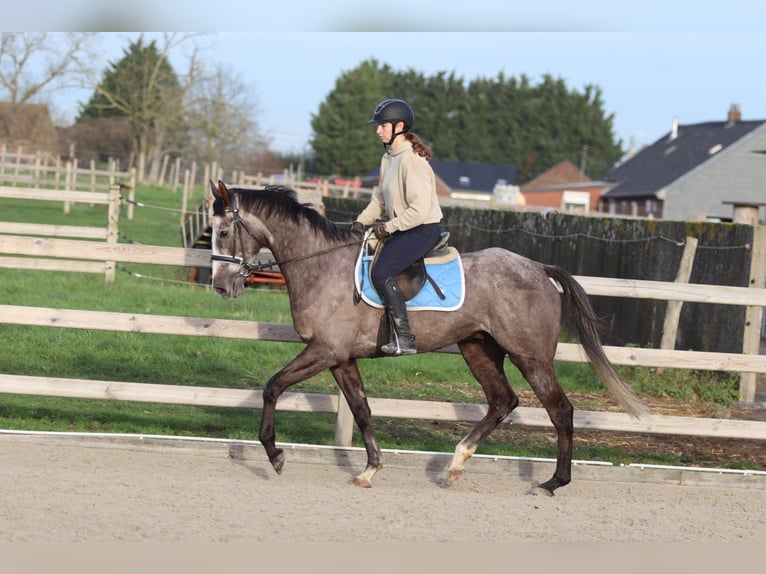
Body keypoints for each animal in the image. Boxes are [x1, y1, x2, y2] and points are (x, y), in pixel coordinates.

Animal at [208, 180, 650, 494]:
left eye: (225, 231)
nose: (220, 287)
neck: (321, 268)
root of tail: (539, 269)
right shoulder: (341, 358)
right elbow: (362, 410)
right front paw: (370, 470)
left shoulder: (324, 351)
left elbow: (272, 387)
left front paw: (275, 454)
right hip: (477, 348)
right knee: (502, 401)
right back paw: (457, 463)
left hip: (530, 356)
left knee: (560, 410)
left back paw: (553, 482)